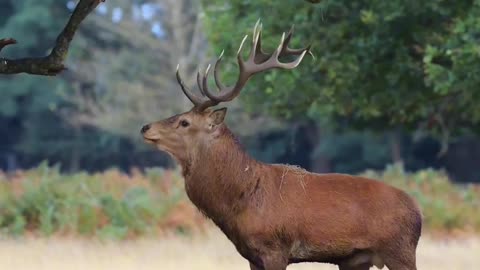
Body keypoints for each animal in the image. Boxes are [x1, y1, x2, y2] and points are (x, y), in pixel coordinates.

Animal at [141, 21, 422, 270]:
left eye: (184, 122)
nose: (145, 128)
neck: (239, 202)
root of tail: (418, 212)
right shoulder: (252, 256)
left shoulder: (274, 248)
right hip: (356, 260)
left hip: (399, 249)